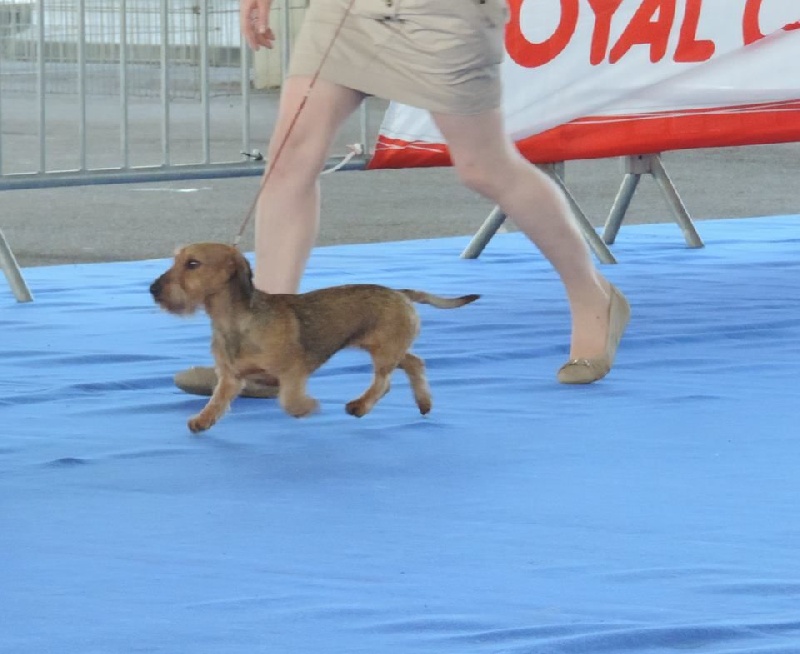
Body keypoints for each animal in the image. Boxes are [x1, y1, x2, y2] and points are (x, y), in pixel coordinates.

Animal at [150, 243, 479, 433]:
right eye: (175, 260)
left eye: (193, 264)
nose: (153, 289)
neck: (236, 321)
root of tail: (400, 292)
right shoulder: (231, 377)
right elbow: (217, 401)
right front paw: (202, 420)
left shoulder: (292, 372)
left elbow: (288, 400)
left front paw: (305, 408)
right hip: (384, 347)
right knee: (414, 363)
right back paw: (423, 403)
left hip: (384, 351)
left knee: (384, 382)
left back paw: (360, 406)